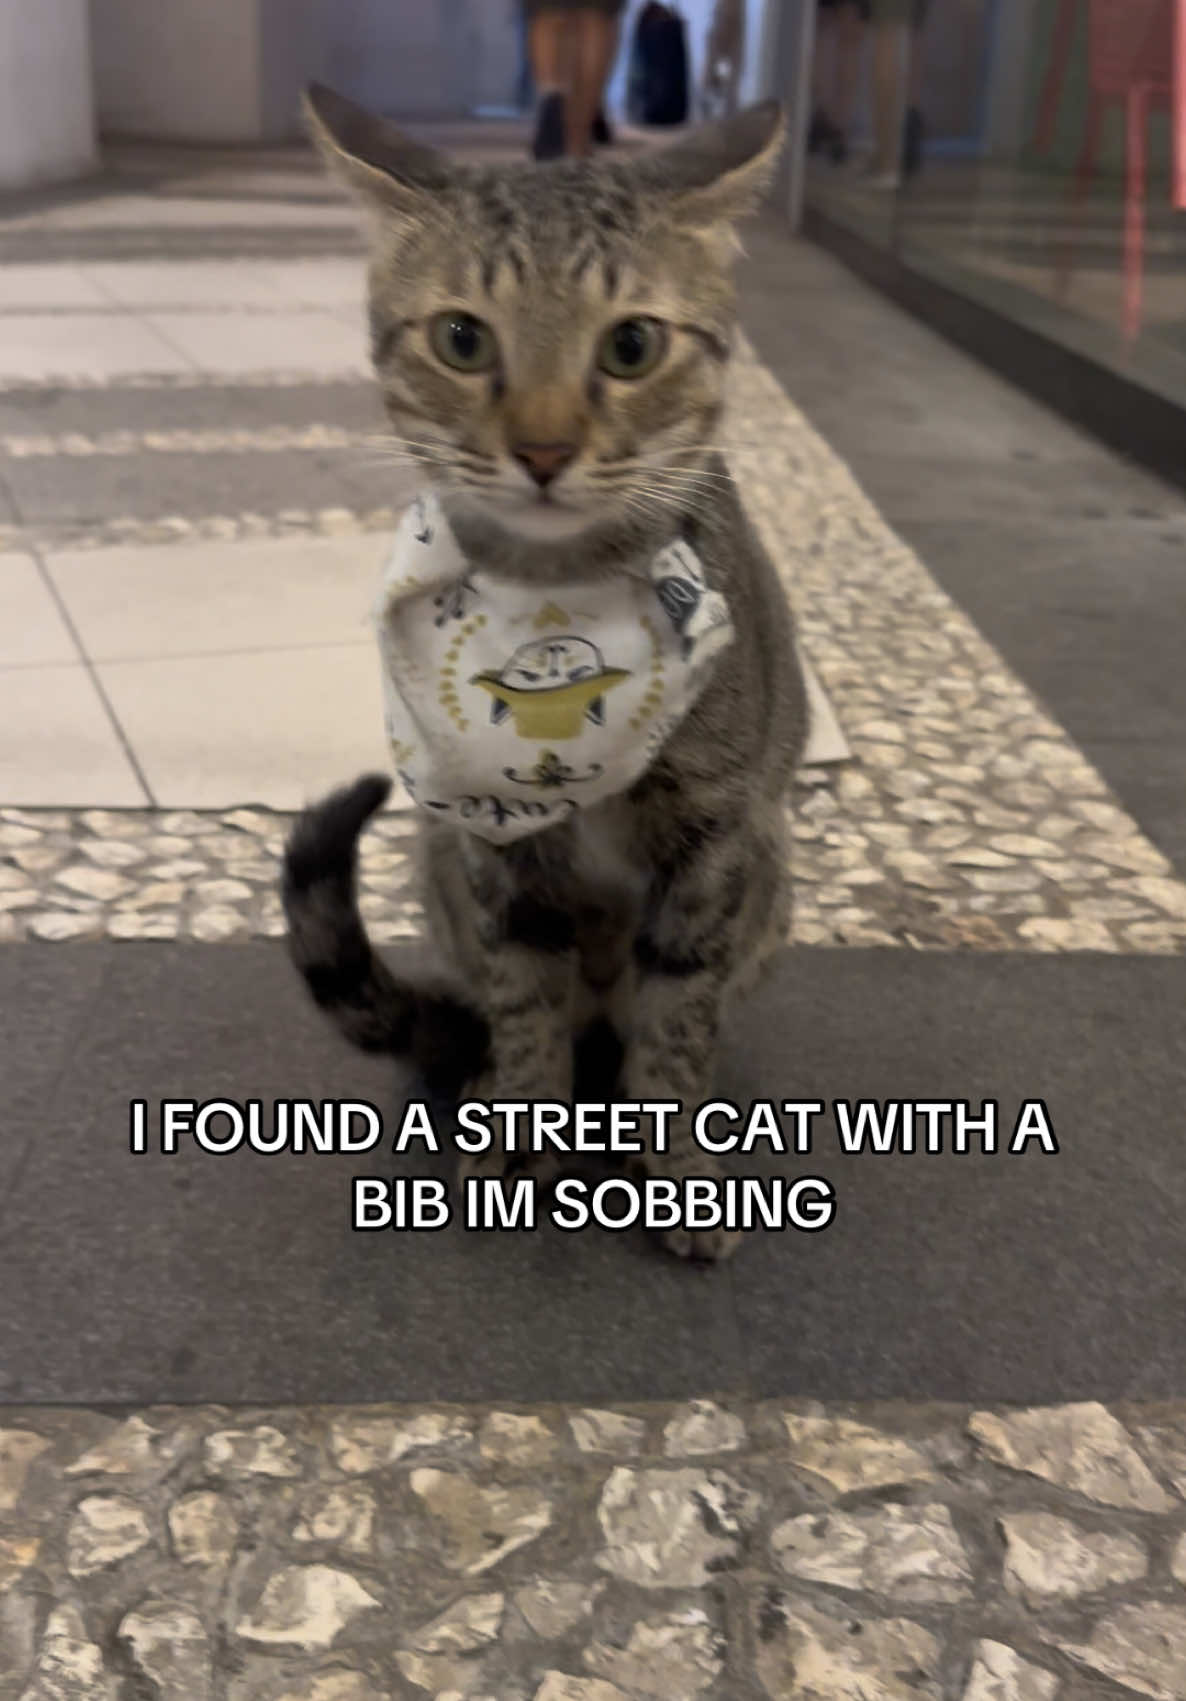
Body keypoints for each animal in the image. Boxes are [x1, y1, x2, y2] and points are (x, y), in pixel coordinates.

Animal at [282, 86, 809, 1258]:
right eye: (462, 338)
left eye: (632, 346)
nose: (542, 449)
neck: (558, 601)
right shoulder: (494, 838)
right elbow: (524, 993)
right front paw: (524, 1121)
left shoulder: (715, 834)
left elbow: (678, 1016)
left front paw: (679, 1164)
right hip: (438, 854)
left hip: (770, 871)